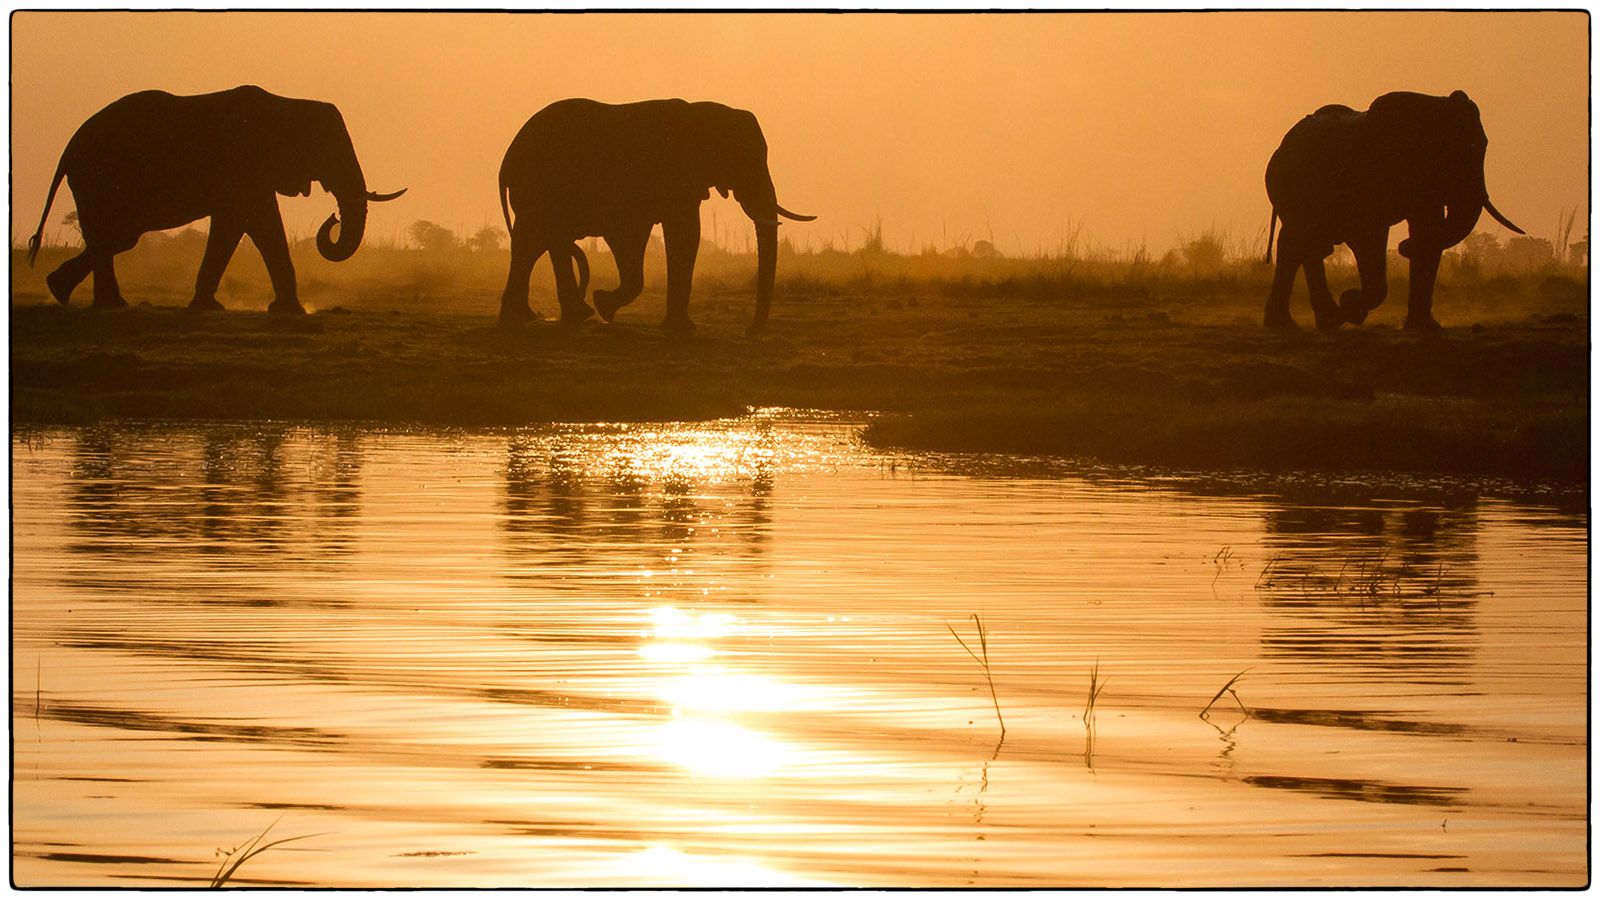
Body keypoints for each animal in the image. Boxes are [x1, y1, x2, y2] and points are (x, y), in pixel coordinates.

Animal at [25, 84, 403, 315]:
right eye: (326, 150)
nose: (333, 218)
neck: (287, 103)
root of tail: (68, 148)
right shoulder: (239, 160)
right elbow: (239, 222)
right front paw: (212, 307)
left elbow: (259, 224)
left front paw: (287, 311)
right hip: (97, 176)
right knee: (120, 234)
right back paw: (77, 295)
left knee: (115, 235)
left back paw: (87, 297)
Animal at [496, 96, 812, 333]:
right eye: (743, 160)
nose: (748, 331)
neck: (700, 112)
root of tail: (507, 158)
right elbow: (675, 232)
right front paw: (608, 307)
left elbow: (662, 236)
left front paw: (606, 307)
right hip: (540, 186)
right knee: (538, 240)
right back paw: (561, 315)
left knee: (534, 243)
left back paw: (536, 316)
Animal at [1260, 89, 1523, 329]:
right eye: (1455, 152)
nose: (1404, 246)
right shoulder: (1370, 176)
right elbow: (1367, 235)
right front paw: (1352, 306)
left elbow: (1428, 226)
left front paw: (1424, 327)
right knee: (1305, 242)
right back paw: (1321, 321)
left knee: (1298, 243)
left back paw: (1302, 323)